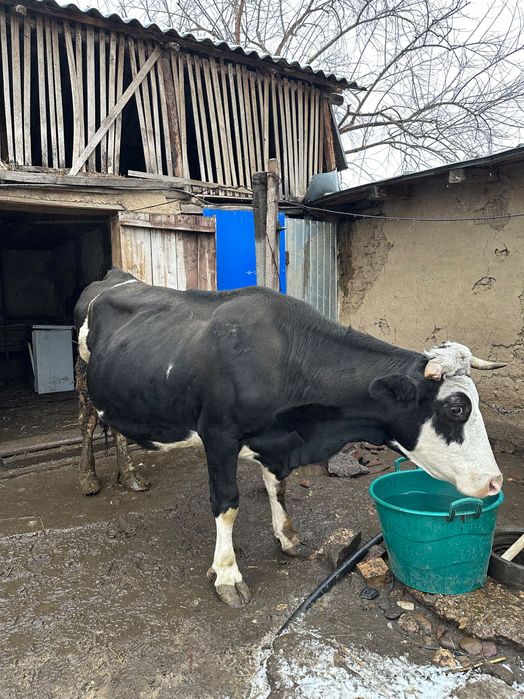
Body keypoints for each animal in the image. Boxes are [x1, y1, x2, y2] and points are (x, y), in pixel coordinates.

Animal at [74, 268, 505, 607]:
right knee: (87, 422)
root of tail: (113, 276)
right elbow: (227, 505)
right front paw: (227, 574)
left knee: (114, 427)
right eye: (456, 409)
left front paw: (287, 537)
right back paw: (89, 477)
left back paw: (131, 475)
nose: (495, 481)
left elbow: (277, 488)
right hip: (83, 380)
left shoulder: (277, 441)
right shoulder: (219, 435)